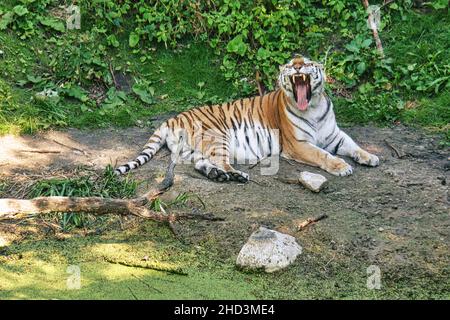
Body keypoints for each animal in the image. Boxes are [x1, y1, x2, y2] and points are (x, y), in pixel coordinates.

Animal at [114, 56, 378, 181]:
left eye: (306, 62)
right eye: (290, 64)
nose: (297, 67)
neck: (313, 105)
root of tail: (171, 119)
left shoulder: (334, 135)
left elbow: (353, 145)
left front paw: (370, 157)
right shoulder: (298, 145)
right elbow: (323, 155)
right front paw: (342, 167)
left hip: (191, 151)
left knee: (201, 164)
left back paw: (217, 175)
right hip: (217, 137)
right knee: (221, 161)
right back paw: (236, 175)